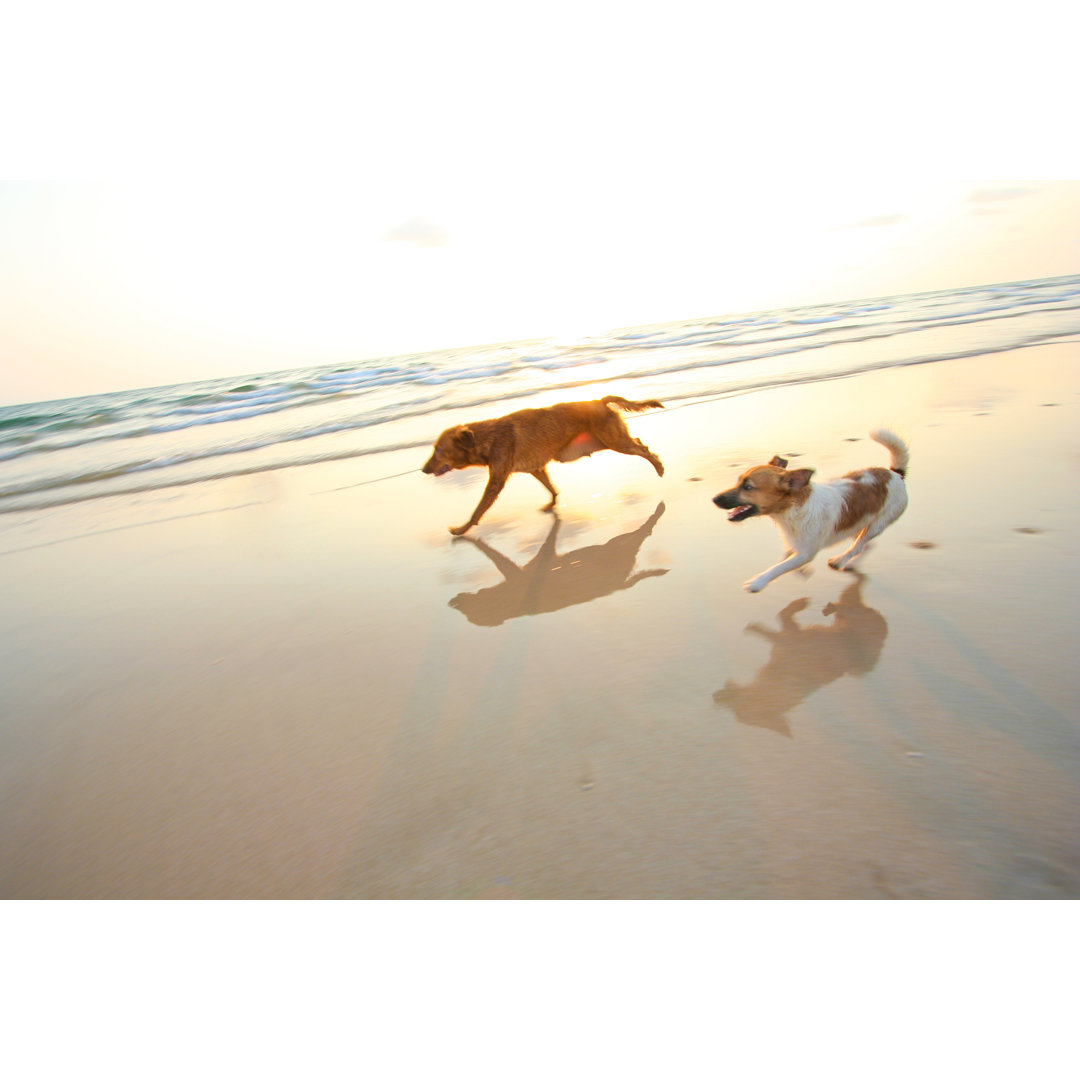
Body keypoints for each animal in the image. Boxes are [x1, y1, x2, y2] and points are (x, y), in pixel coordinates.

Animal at [423, 395, 660, 533]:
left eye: (439, 450)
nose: (424, 469)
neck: (486, 438)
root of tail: (598, 401)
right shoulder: (536, 469)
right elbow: (551, 488)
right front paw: (552, 503)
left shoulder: (496, 481)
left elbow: (478, 510)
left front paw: (462, 529)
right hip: (601, 442)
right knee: (639, 442)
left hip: (614, 441)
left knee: (644, 450)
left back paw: (660, 467)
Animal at [717, 427, 911, 591]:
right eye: (738, 481)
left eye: (748, 487)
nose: (714, 499)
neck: (791, 510)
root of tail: (896, 474)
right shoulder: (795, 543)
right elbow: (786, 558)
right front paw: (801, 571)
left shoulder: (806, 552)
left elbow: (781, 566)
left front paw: (758, 581)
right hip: (857, 523)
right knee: (866, 545)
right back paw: (850, 563)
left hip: (877, 524)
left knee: (859, 545)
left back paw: (841, 560)